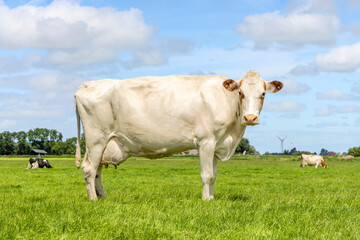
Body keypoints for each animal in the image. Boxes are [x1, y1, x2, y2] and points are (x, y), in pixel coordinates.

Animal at [74, 70, 282, 201]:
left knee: (97, 170)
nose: (250, 117)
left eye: (263, 93)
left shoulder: (217, 145)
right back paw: (93, 199)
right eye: (241, 92)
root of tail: (86, 85)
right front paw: (206, 201)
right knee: (89, 169)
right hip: (96, 139)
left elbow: (214, 176)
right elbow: (207, 175)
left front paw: (212, 198)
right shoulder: (206, 142)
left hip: (102, 143)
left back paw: (102, 197)